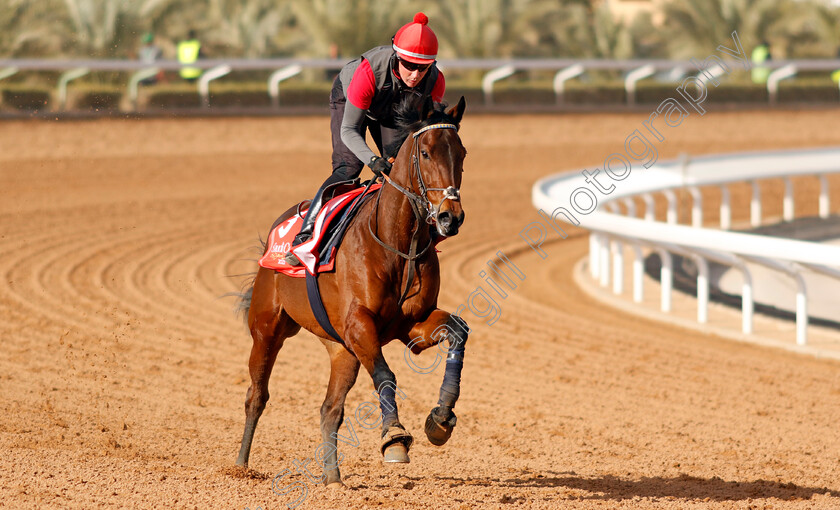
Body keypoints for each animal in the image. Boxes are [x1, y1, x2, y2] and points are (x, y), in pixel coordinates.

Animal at [235, 96, 472, 486]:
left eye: (462, 153)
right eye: (425, 152)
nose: (450, 217)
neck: (397, 244)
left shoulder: (412, 326)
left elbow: (458, 331)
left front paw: (440, 419)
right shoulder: (360, 325)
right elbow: (387, 374)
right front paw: (394, 438)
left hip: (341, 350)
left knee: (330, 409)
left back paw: (333, 479)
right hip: (267, 328)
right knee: (257, 395)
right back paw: (240, 465)